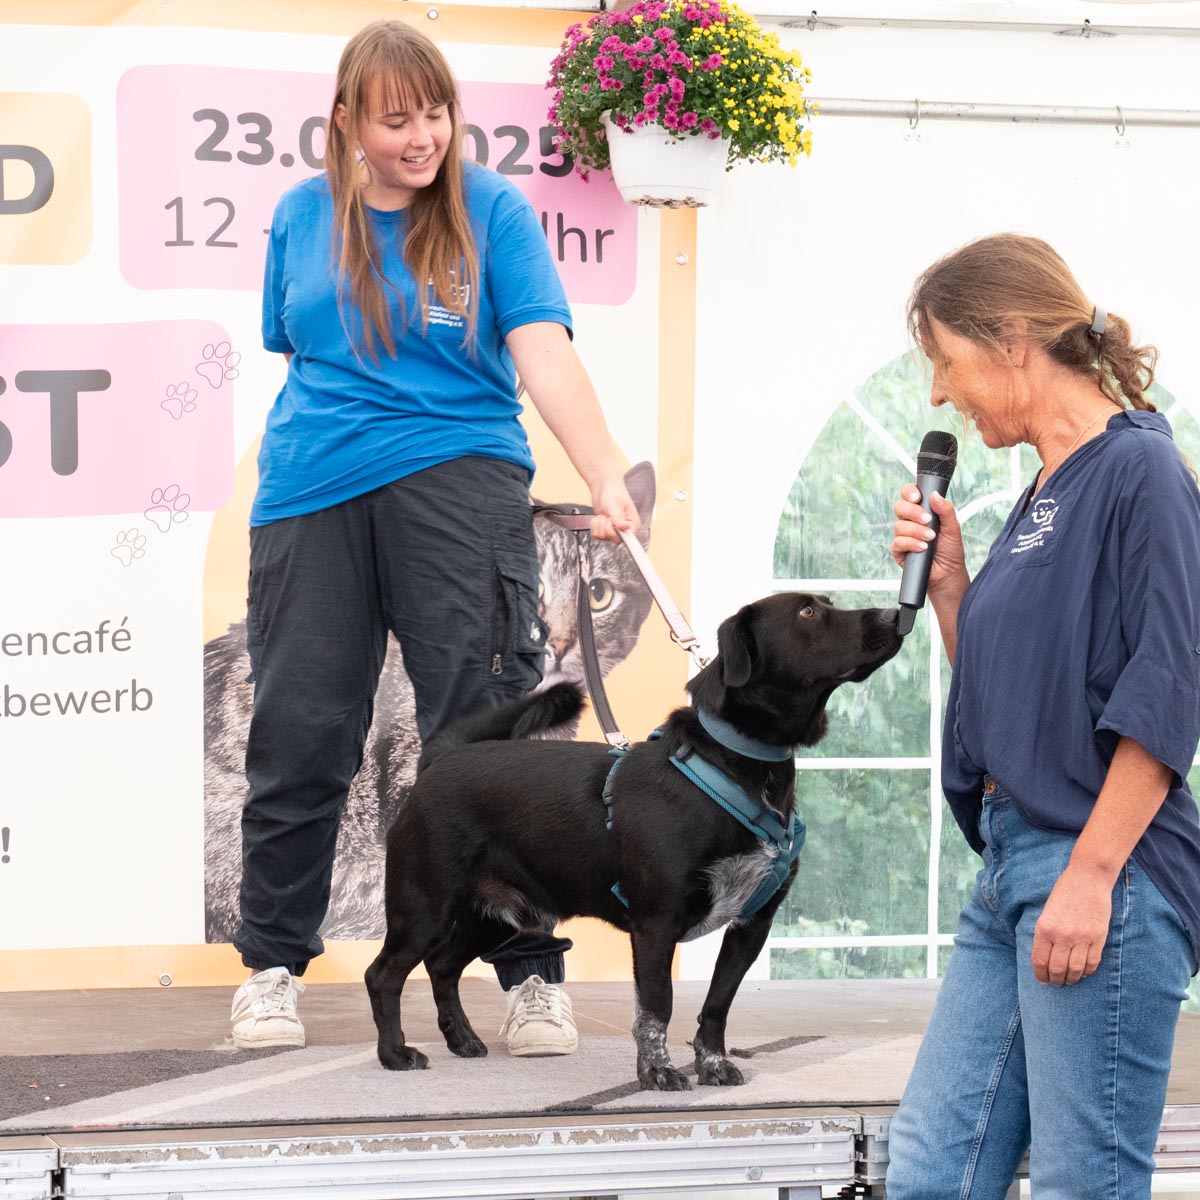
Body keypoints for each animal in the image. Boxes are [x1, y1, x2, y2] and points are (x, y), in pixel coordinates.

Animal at [365, 592, 903, 1091]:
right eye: (808, 612)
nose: (894, 614)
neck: (734, 767)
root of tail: (437, 761)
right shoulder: (656, 924)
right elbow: (657, 1007)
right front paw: (657, 1072)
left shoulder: (752, 924)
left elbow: (717, 1004)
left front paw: (712, 1064)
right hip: (427, 907)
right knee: (385, 974)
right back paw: (394, 1053)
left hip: (497, 917)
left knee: (443, 966)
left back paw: (461, 1039)